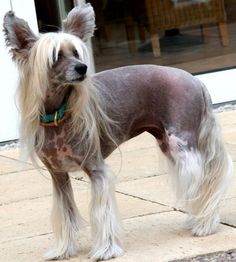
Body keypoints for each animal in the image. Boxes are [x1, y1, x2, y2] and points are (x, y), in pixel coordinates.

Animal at [2, 3, 233, 260]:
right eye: (56, 56)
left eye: (76, 53)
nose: (82, 68)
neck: (58, 114)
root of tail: (196, 80)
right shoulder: (58, 177)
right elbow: (65, 215)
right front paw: (62, 250)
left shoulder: (96, 170)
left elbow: (103, 214)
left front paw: (106, 249)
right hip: (168, 143)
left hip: (182, 146)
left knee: (204, 182)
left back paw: (205, 224)